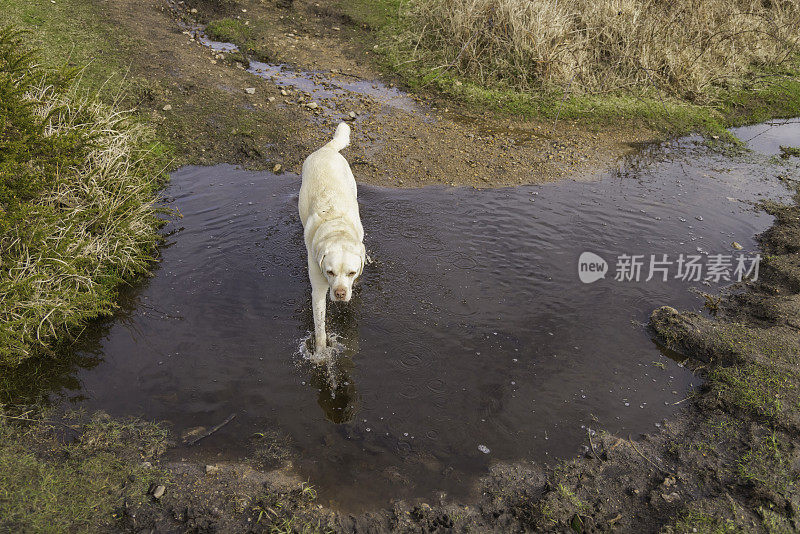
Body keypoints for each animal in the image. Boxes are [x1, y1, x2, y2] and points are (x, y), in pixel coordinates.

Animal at [298, 123, 364, 354]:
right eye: (330, 272)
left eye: (351, 272)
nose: (341, 293)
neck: (335, 225)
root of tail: (326, 149)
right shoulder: (317, 285)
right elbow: (319, 323)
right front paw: (321, 353)